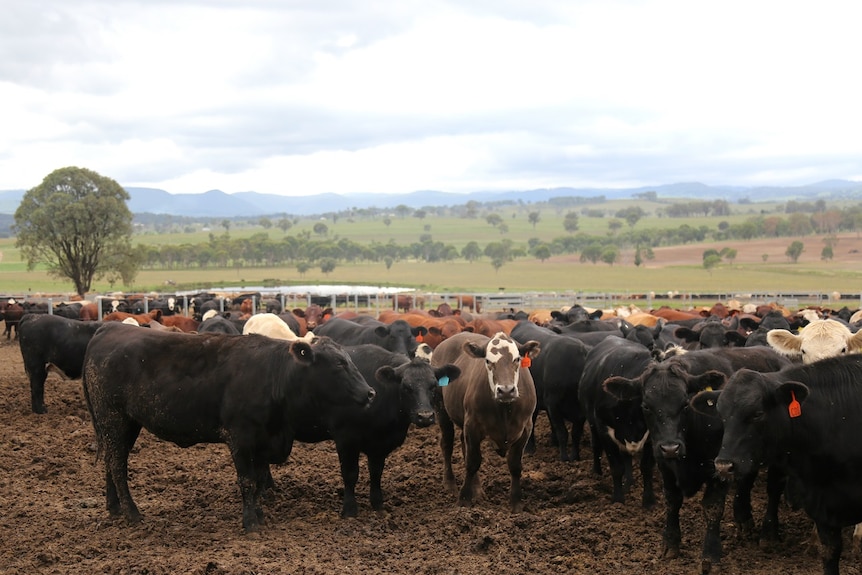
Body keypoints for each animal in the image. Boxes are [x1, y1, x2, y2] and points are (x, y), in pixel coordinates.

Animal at [82, 326, 376, 532]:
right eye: (339, 363)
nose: (370, 392)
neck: (274, 376)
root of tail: (107, 329)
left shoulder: (262, 441)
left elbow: (258, 482)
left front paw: (259, 515)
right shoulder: (241, 438)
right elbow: (247, 481)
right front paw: (251, 523)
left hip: (125, 424)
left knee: (111, 460)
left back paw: (114, 508)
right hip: (114, 418)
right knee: (117, 465)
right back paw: (132, 513)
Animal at [432, 332, 540, 512]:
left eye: (517, 359)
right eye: (488, 361)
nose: (506, 390)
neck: (505, 409)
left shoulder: (525, 428)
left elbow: (515, 465)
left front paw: (516, 503)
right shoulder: (472, 426)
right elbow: (472, 462)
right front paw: (464, 499)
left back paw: (477, 490)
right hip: (441, 409)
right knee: (447, 444)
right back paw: (450, 484)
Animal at [576, 338, 660, 508]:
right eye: (648, 402)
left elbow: (647, 467)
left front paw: (649, 501)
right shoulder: (604, 430)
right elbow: (616, 467)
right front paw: (618, 500)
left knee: (627, 456)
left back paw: (628, 482)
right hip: (593, 424)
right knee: (596, 446)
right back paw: (597, 474)